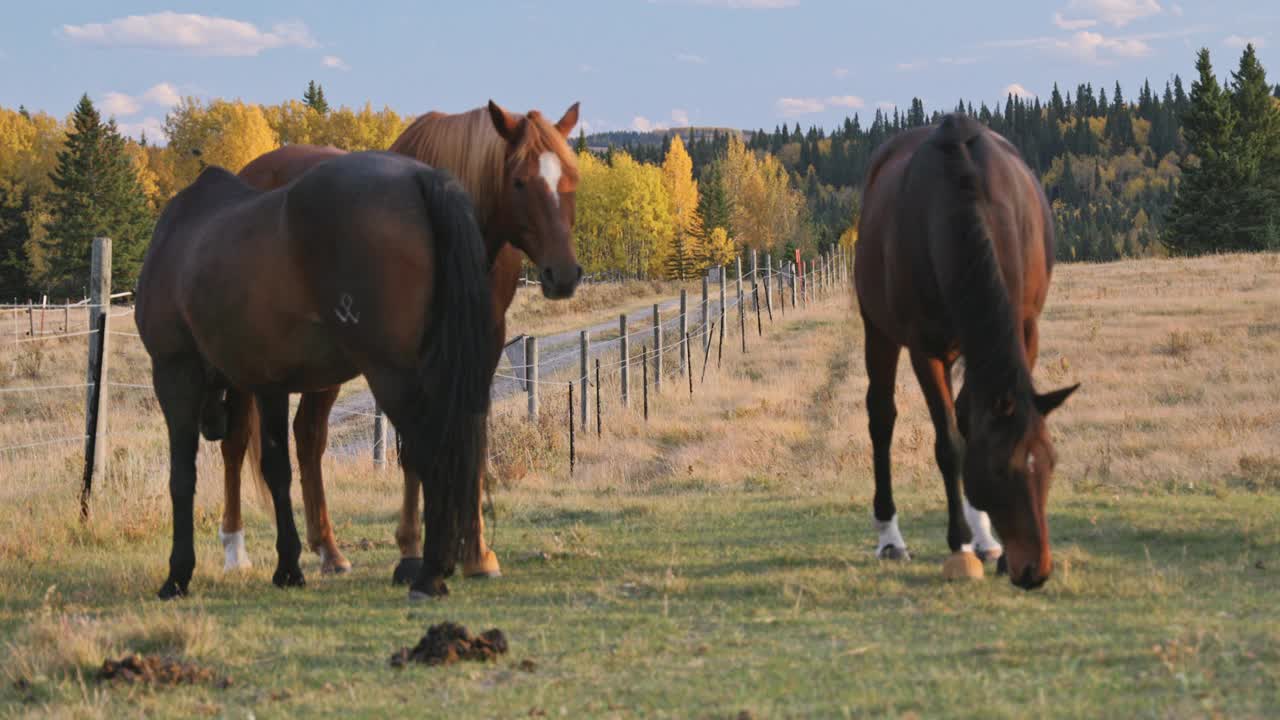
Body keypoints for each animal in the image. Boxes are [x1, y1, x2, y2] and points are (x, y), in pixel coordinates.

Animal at [136, 148, 494, 597]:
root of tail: (418, 178)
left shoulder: (174, 372)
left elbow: (183, 476)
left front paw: (178, 575)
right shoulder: (266, 382)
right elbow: (276, 468)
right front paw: (288, 566)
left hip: (392, 374)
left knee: (430, 452)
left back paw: (429, 572)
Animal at [218, 102, 581, 584]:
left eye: (572, 177)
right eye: (519, 181)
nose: (564, 274)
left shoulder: (479, 351)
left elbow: (471, 440)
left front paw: (476, 553)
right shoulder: (409, 359)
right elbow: (413, 450)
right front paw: (412, 548)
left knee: (308, 437)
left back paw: (329, 549)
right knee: (236, 441)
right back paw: (234, 549)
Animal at [855, 113, 1075, 589]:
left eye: (1050, 463)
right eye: (999, 470)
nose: (1035, 570)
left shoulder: (1024, 330)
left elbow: (971, 422)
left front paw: (990, 545)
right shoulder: (926, 348)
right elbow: (950, 445)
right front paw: (957, 544)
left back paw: (985, 538)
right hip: (877, 330)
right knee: (881, 417)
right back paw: (890, 538)